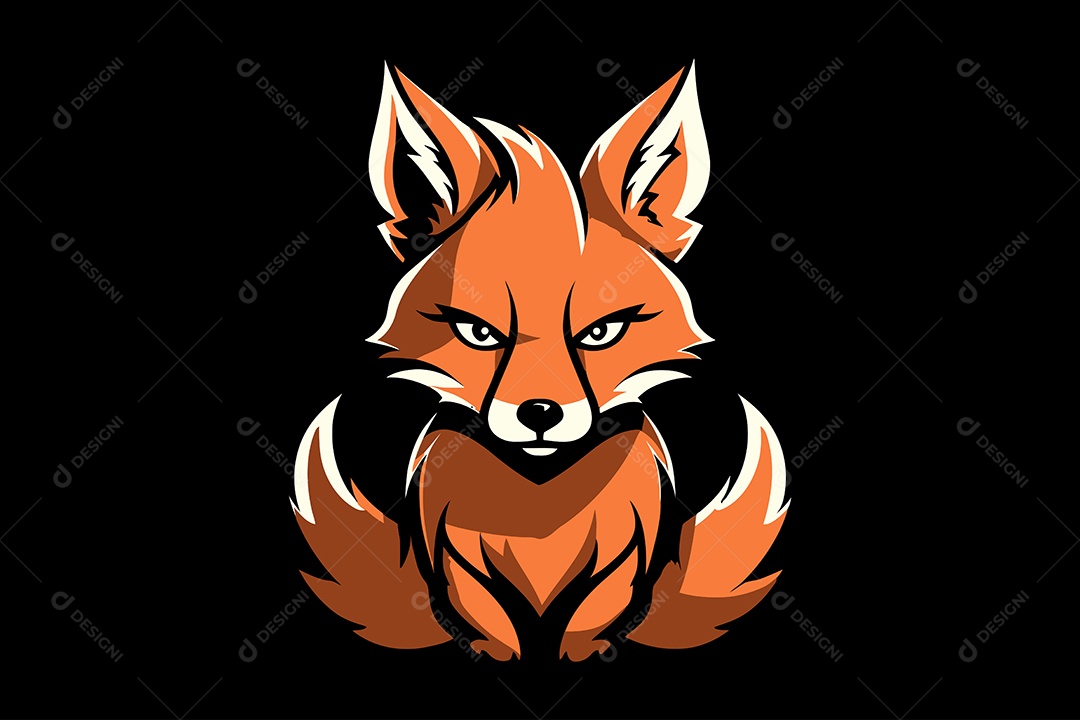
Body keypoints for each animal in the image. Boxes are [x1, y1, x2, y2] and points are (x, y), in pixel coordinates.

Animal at [292, 61, 789, 661]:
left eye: (601, 333)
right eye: (478, 333)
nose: (540, 413)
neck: (540, 500)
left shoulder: (623, 551)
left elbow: (592, 610)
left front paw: (578, 650)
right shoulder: (457, 556)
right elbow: (488, 613)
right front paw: (502, 651)